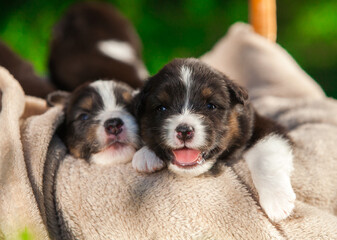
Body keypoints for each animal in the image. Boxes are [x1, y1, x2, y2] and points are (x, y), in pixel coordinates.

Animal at [131, 57, 294, 221]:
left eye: (211, 106)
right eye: (162, 108)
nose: (184, 131)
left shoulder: (265, 126)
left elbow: (266, 156)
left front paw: (277, 200)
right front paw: (146, 155)